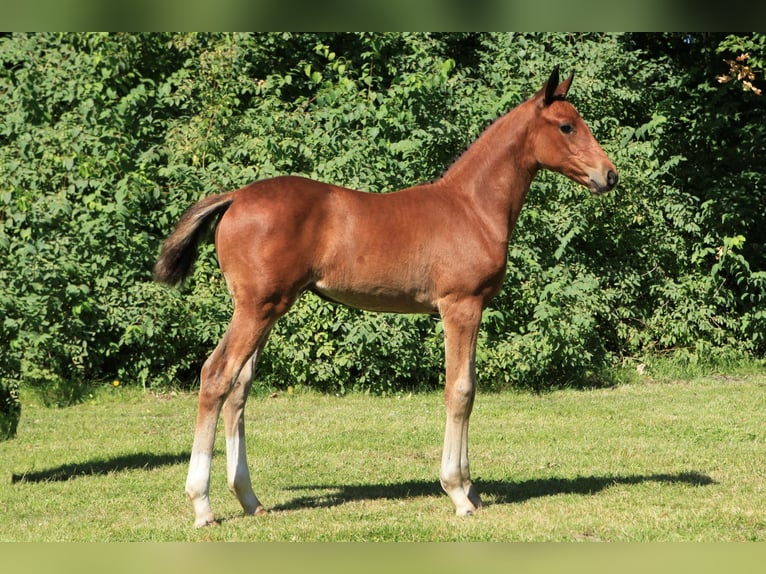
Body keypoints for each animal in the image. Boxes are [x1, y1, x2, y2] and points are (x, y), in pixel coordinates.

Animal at [154, 65, 616, 528]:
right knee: (217, 376)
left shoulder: (471, 308)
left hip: (267, 310)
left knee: (239, 387)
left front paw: (472, 489)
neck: (472, 207)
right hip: (256, 308)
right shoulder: (460, 306)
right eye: (566, 126)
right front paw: (458, 492)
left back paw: (250, 499)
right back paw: (202, 504)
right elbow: (460, 390)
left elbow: (468, 388)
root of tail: (234, 198)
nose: (609, 175)